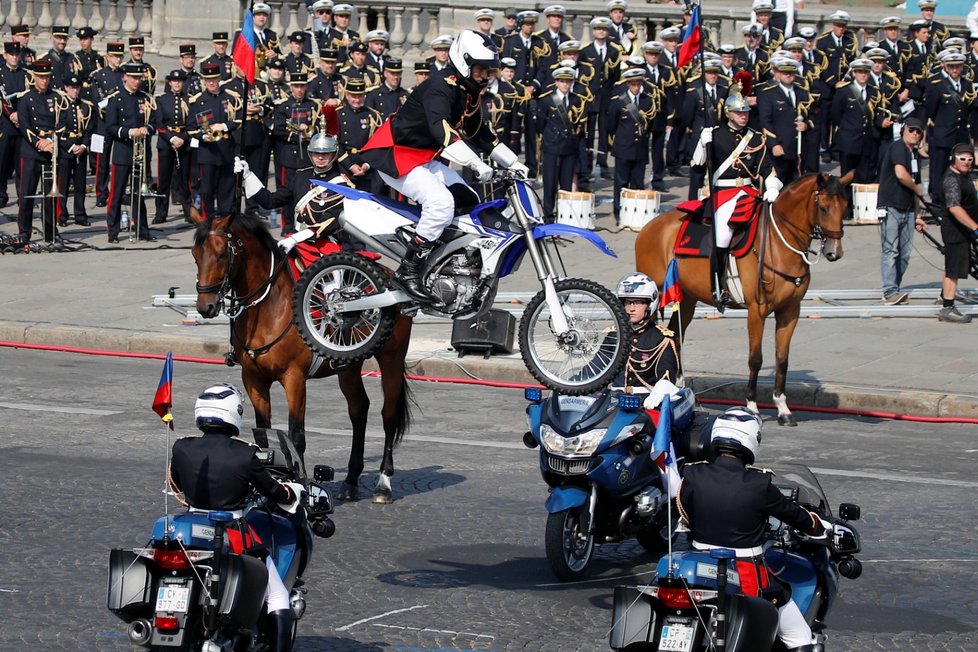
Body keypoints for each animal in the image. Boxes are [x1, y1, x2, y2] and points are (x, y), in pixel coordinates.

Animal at [193, 211, 414, 502]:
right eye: (195, 254)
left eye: (220, 255)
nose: (205, 306)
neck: (268, 307)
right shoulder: (253, 379)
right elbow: (263, 435)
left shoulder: (294, 378)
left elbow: (296, 437)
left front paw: (303, 488)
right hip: (348, 367)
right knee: (359, 409)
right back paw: (351, 481)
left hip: (391, 358)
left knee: (388, 415)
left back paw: (383, 484)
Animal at [636, 173, 852, 426]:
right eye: (824, 208)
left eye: (845, 207)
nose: (834, 252)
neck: (778, 244)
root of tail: (651, 225)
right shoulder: (757, 310)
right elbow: (755, 359)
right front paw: (752, 406)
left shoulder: (790, 310)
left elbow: (782, 358)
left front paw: (783, 408)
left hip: (687, 299)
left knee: (676, 338)